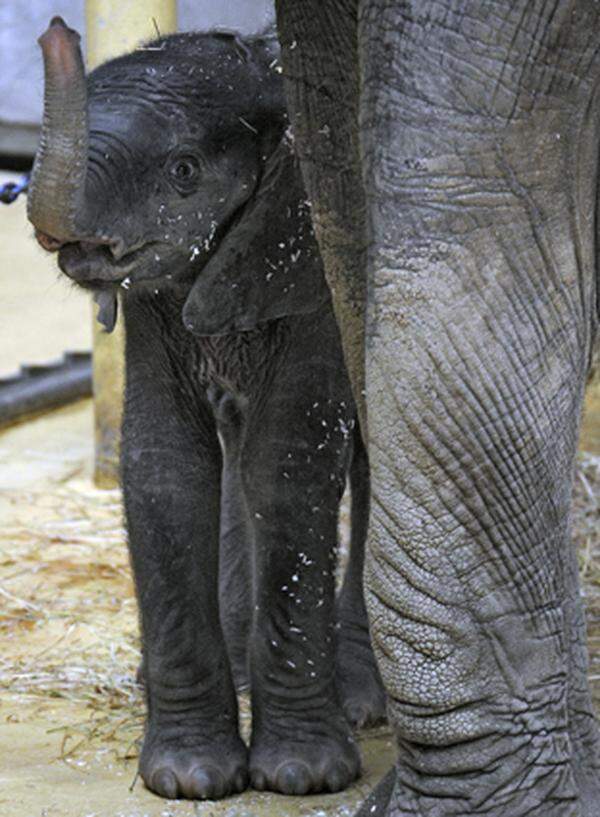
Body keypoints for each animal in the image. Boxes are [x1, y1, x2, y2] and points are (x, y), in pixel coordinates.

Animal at [27, 15, 384, 800]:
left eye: (184, 170)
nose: (57, 29)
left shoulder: (308, 266)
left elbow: (289, 460)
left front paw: (303, 774)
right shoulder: (155, 300)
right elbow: (166, 462)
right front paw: (190, 776)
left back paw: (364, 703)